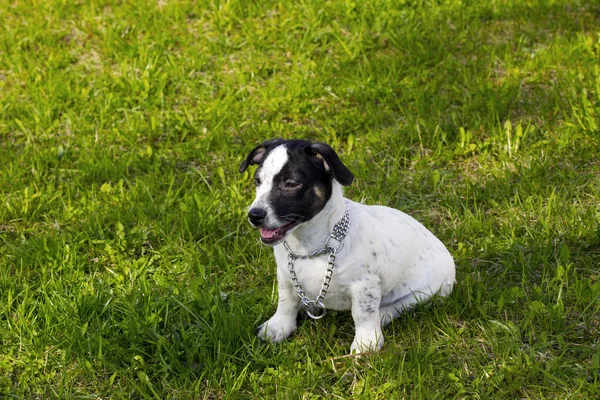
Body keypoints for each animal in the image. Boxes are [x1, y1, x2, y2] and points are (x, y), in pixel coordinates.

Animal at [239, 138, 454, 354]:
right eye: (257, 181)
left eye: (291, 184)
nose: (254, 215)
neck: (310, 249)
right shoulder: (285, 274)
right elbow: (286, 302)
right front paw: (279, 326)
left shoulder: (364, 285)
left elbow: (363, 314)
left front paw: (366, 341)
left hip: (428, 289)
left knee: (403, 304)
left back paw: (383, 314)